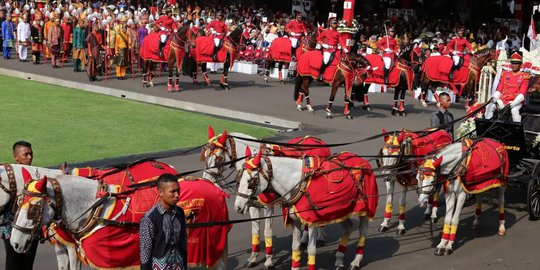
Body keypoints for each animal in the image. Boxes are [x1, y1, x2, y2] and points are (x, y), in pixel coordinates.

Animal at [234, 151, 378, 268]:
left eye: (250, 181)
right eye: (238, 179)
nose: (237, 207)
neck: (298, 182)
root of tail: (362, 161)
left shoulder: (312, 222)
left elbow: (311, 250)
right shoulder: (295, 221)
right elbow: (295, 247)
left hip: (364, 209)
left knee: (363, 232)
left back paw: (356, 261)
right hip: (341, 210)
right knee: (347, 228)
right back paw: (339, 260)